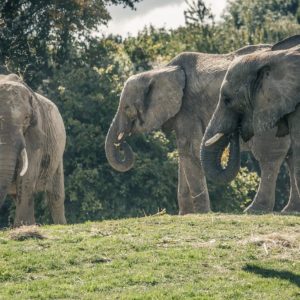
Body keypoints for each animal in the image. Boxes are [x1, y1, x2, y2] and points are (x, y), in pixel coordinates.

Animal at [0, 74, 66, 226]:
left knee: (56, 197)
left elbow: (27, 175)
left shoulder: (36, 131)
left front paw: (24, 226)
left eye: (26, 118)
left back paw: (61, 225)